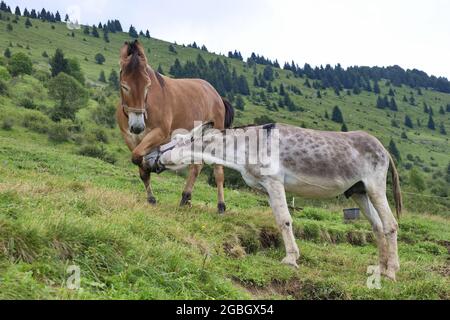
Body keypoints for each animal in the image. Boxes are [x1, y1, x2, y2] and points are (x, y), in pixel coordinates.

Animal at [116, 42, 234, 212]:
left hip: (214, 137)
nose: (137, 126)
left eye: (148, 86)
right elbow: (138, 161)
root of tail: (217, 96)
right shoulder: (130, 138)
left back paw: (221, 206)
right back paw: (186, 198)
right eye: (124, 86)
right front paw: (151, 198)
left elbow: (140, 158)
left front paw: (155, 165)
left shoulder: (160, 133)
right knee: (196, 167)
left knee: (218, 172)